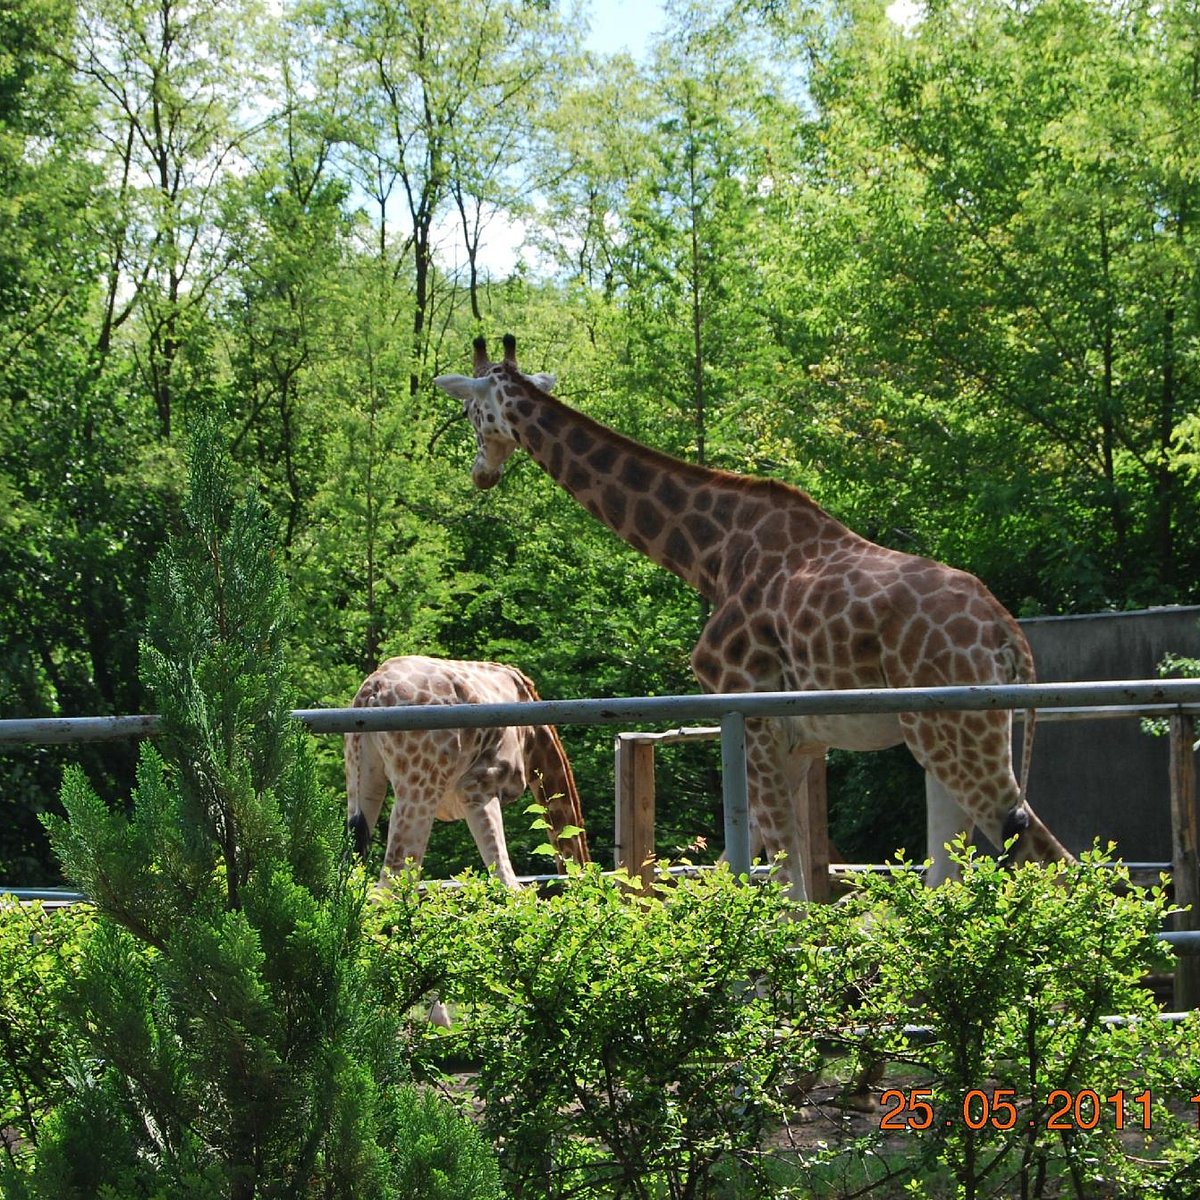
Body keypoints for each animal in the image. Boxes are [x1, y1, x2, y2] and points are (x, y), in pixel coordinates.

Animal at [436, 338, 1075, 902]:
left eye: (469, 410)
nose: (480, 474)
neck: (712, 554)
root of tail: (1009, 638)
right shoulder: (798, 740)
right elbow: (767, 867)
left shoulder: (749, 707)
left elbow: (784, 875)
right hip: (946, 735)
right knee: (953, 869)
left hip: (956, 735)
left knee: (1045, 852)